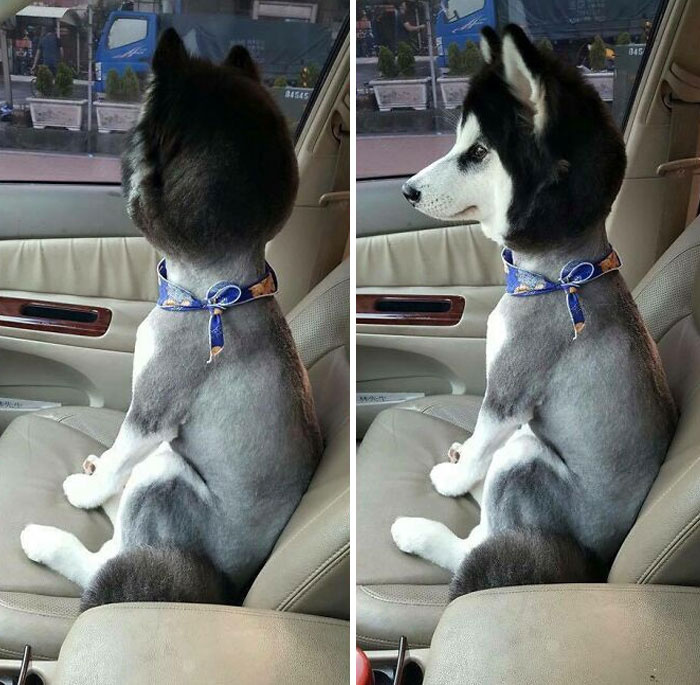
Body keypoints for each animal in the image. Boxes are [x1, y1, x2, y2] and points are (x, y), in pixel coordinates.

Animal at [18, 30, 320, 608]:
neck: (210, 294)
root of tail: (226, 583)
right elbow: (117, 459)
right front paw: (99, 478)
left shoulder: (151, 412)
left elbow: (120, 455)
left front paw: (90, 489)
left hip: (166, 474)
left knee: (109, 557)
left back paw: (54, 533)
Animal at [392, 25, 676, 600]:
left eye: (478, 151)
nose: (407, 190)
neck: (558, 274)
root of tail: (587, 564)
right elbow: (479, 446)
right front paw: (463, 463)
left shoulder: (508, 392)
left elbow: (483, 443)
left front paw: (455, 478)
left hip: (525, 459)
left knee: (477, 543)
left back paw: (424, 525)